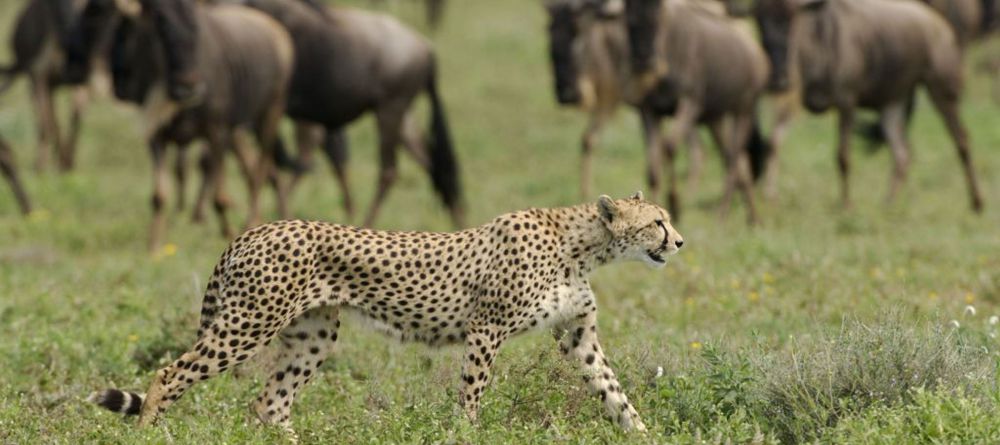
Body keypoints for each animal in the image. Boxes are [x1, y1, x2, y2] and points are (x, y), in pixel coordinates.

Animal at [90, 192, 684, 434]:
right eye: (657, 221)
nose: (679, 241)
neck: (583, 245)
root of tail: (255, 229)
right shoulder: (486, 328)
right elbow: (471, 395)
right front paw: (466, 434)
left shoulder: (576, 335)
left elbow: (615, 392)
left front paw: (646, 433)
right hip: (249, 323)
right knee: (169, 374)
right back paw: (150, 434)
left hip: (313, 335)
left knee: (269, 404)